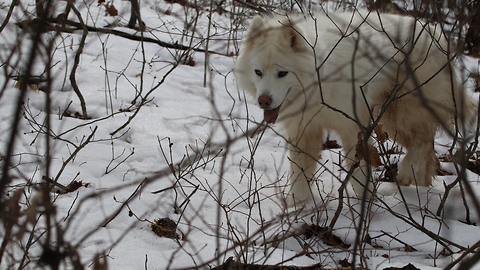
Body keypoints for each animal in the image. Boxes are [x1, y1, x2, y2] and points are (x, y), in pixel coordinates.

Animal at [235, 11, 476, 205]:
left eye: (282, 73)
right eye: (258, 72)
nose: (264, 101)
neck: (321, 79)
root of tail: (436, 32)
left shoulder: (353, 129)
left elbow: (358, 168)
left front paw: (366, 202)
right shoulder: (304, 131)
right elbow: (300, 171)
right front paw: (297, 205)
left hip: (403, 111)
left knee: (422, 141)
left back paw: (407, 172)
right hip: (391, 117)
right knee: (426, 148)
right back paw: (419, 184)